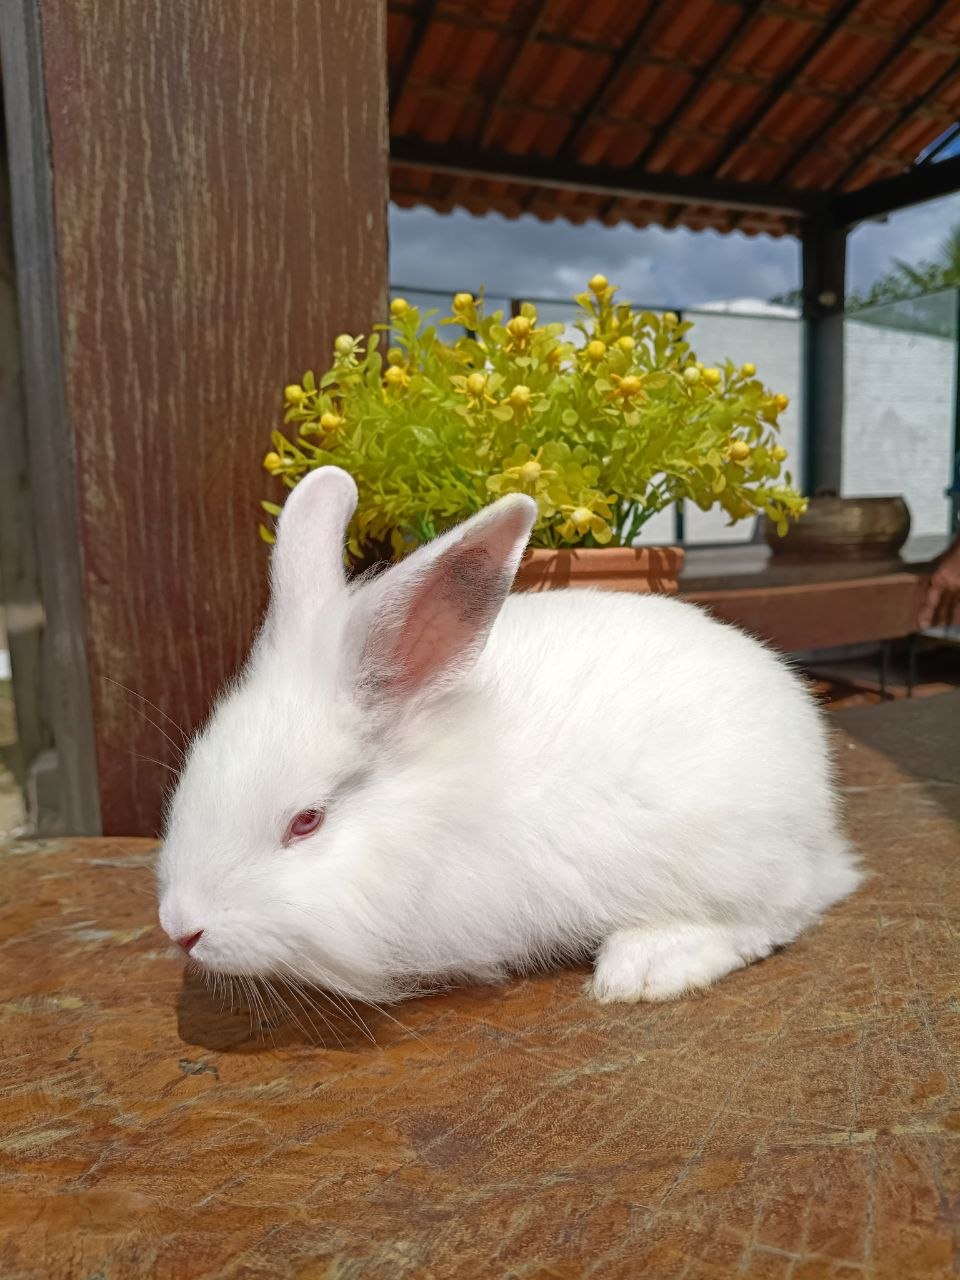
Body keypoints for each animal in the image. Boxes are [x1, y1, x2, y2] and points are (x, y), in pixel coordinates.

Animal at [157, 466, 861, 1006]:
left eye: (306, 821)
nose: (182, 928)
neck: (426, 810)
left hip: (727, 855)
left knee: (777, 915)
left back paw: (643, 967)